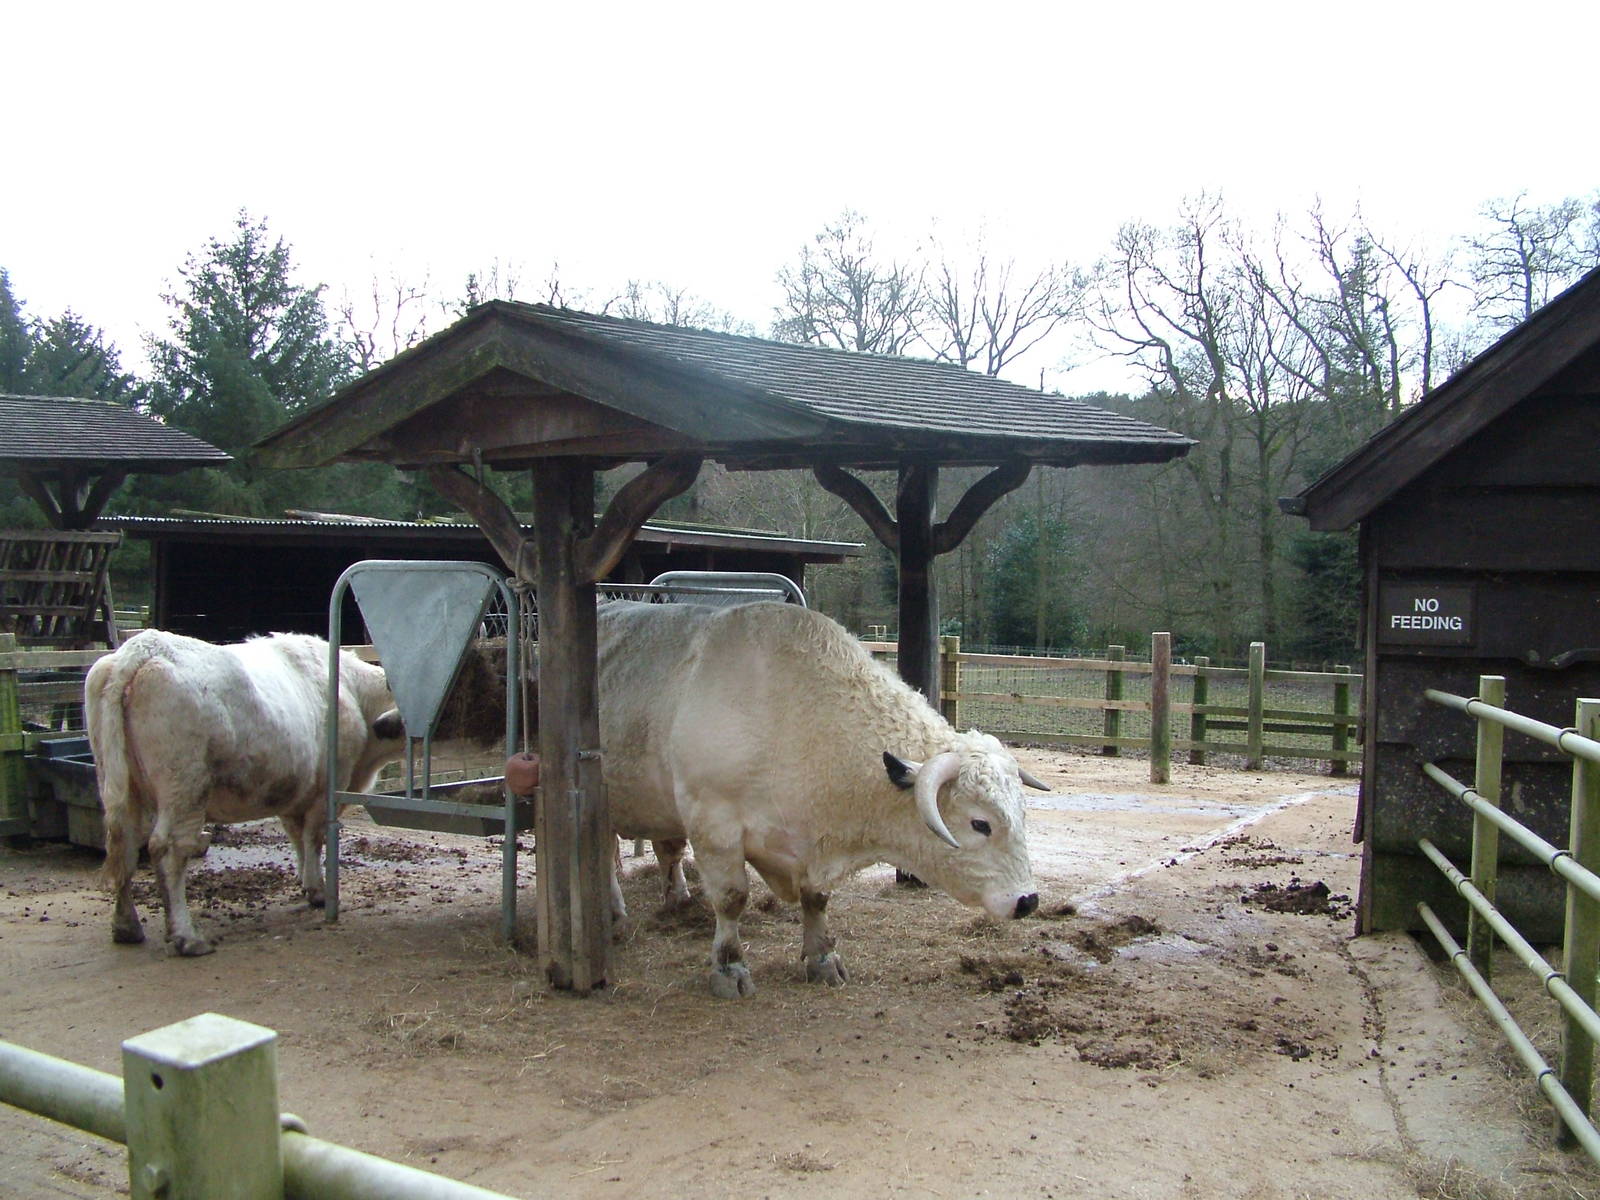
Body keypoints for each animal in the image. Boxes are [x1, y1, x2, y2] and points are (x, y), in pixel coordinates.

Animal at [85, 630, 405, 956]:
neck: (354, 692)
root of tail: (143, 647)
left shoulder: (293, 794)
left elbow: (297, 838)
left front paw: (305, 881)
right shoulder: (326, 788)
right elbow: (313, 839)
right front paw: (318, 891)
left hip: (120, 785)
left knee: (123, 844)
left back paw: (127, 926)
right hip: (184, 788)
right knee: (168, 850)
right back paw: (187, 936)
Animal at [597, 600, 1047, 999]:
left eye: (1022, 816)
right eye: (980, 823)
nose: (1028, 900)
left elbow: (817, 898)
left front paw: (823, 958)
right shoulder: (714, 825)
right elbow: (731, 898)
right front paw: (729, 967)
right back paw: (614, 917)